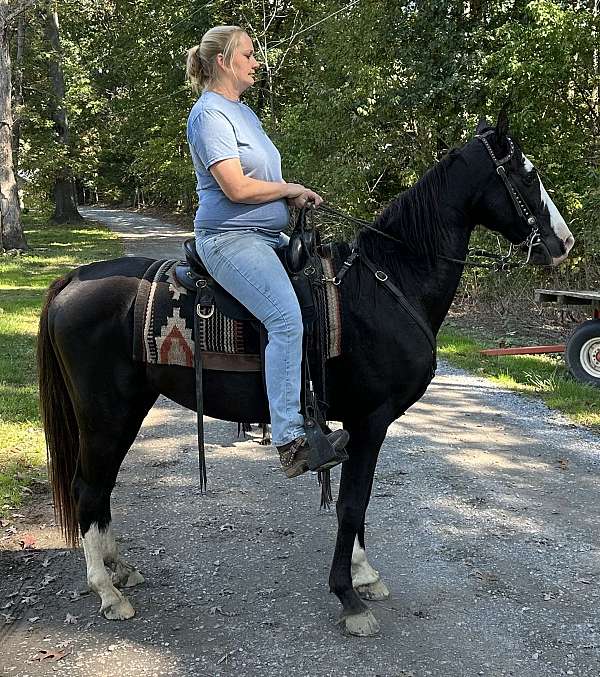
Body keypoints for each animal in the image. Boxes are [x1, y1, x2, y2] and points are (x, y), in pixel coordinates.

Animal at [37, 115, 572, 632]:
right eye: (526, 174)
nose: (563, 243)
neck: (389, 284)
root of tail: (72, 280)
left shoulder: (360, 425)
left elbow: (358, 502)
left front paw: (364, 573)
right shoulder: (370, 420)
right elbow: (352, 503)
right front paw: (349, 597)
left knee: (102, 488)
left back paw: (119, 569)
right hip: (106, 414)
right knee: (88, 487)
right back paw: (106, 591)